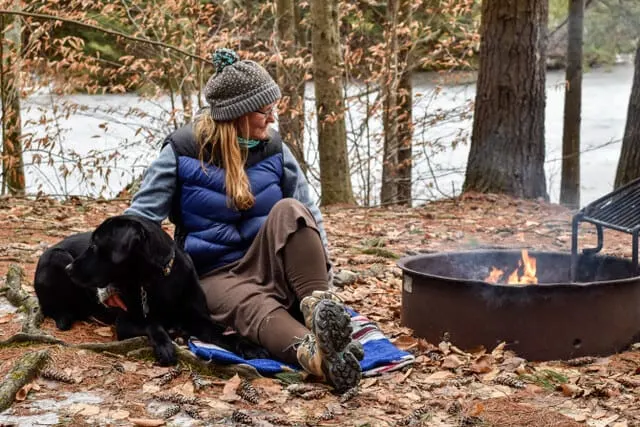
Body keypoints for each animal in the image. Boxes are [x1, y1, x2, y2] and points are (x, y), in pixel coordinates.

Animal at [35, 216, 264, 366]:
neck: (157, 281)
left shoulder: (198, 318)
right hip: (58, 256)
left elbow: (221, 333)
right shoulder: (125, 322)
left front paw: (248, 346)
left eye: (95, 245)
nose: (69, 270)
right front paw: (165, 344)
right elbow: (152, 323)